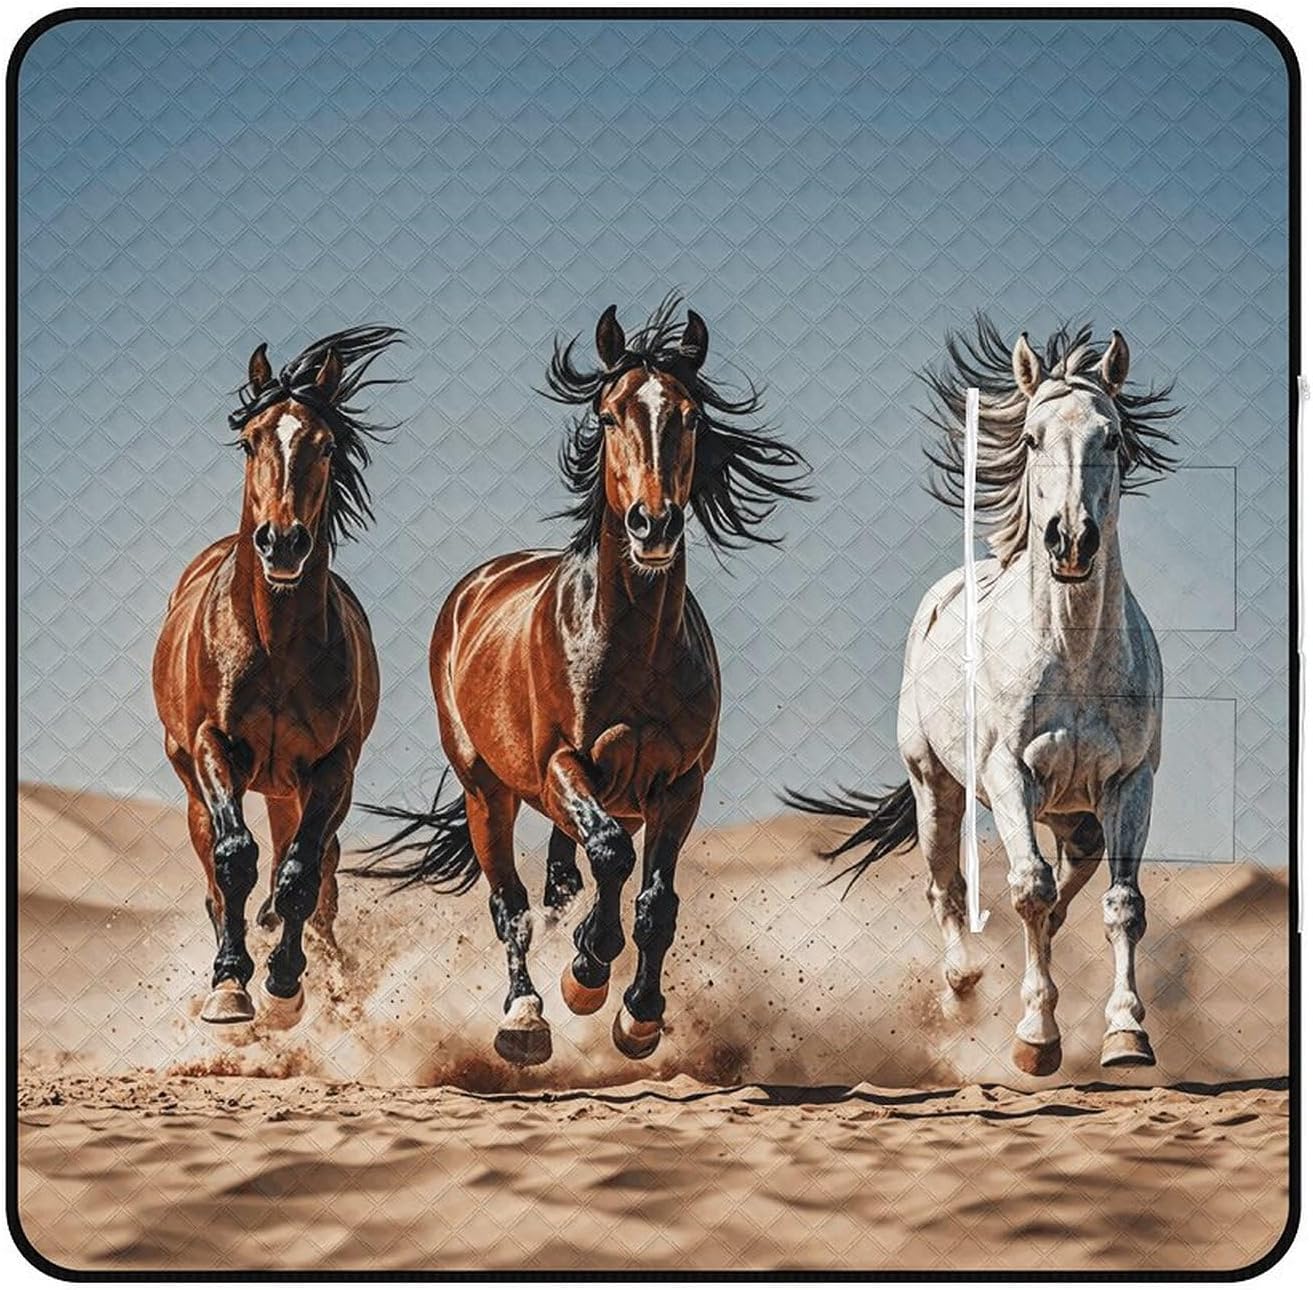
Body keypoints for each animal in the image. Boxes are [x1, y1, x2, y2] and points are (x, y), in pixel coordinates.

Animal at [152, 325, 402, 1027]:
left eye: (325, 444)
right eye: (251, 439)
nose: (282, 542)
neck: (272, 645)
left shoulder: (331, 767)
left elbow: (299, 875)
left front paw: (286, 984)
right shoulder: (213, 745)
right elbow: (235, 861)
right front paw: (231, 985)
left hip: (291, 789)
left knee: (317, 871)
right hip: (202, 786)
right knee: (216, 872)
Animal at [354, 295, 809, 1066]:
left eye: (691, 416)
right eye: (609, 414)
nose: (653, 525)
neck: (632, 647)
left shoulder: (679, 784)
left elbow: (655, 902)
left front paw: (639, 1014)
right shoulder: (562, 763)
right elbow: (610, 856)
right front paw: (588, 970)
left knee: (569, 871)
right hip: (488, 791)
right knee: (511, 902)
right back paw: (525, 1015)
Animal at [786, 318, 1179, 1076]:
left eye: (1111, 437)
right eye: (1031, 438)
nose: (1071, 540)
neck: (1072, 654)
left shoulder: (1131, 782)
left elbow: (1122, 905)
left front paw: (1125, 1035)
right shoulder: (1009, 774)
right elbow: (1026, 888)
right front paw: (1036, 1038)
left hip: (1077, 815)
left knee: (1067, 884)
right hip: (937, 789)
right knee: (950, 886)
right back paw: (961, 983)